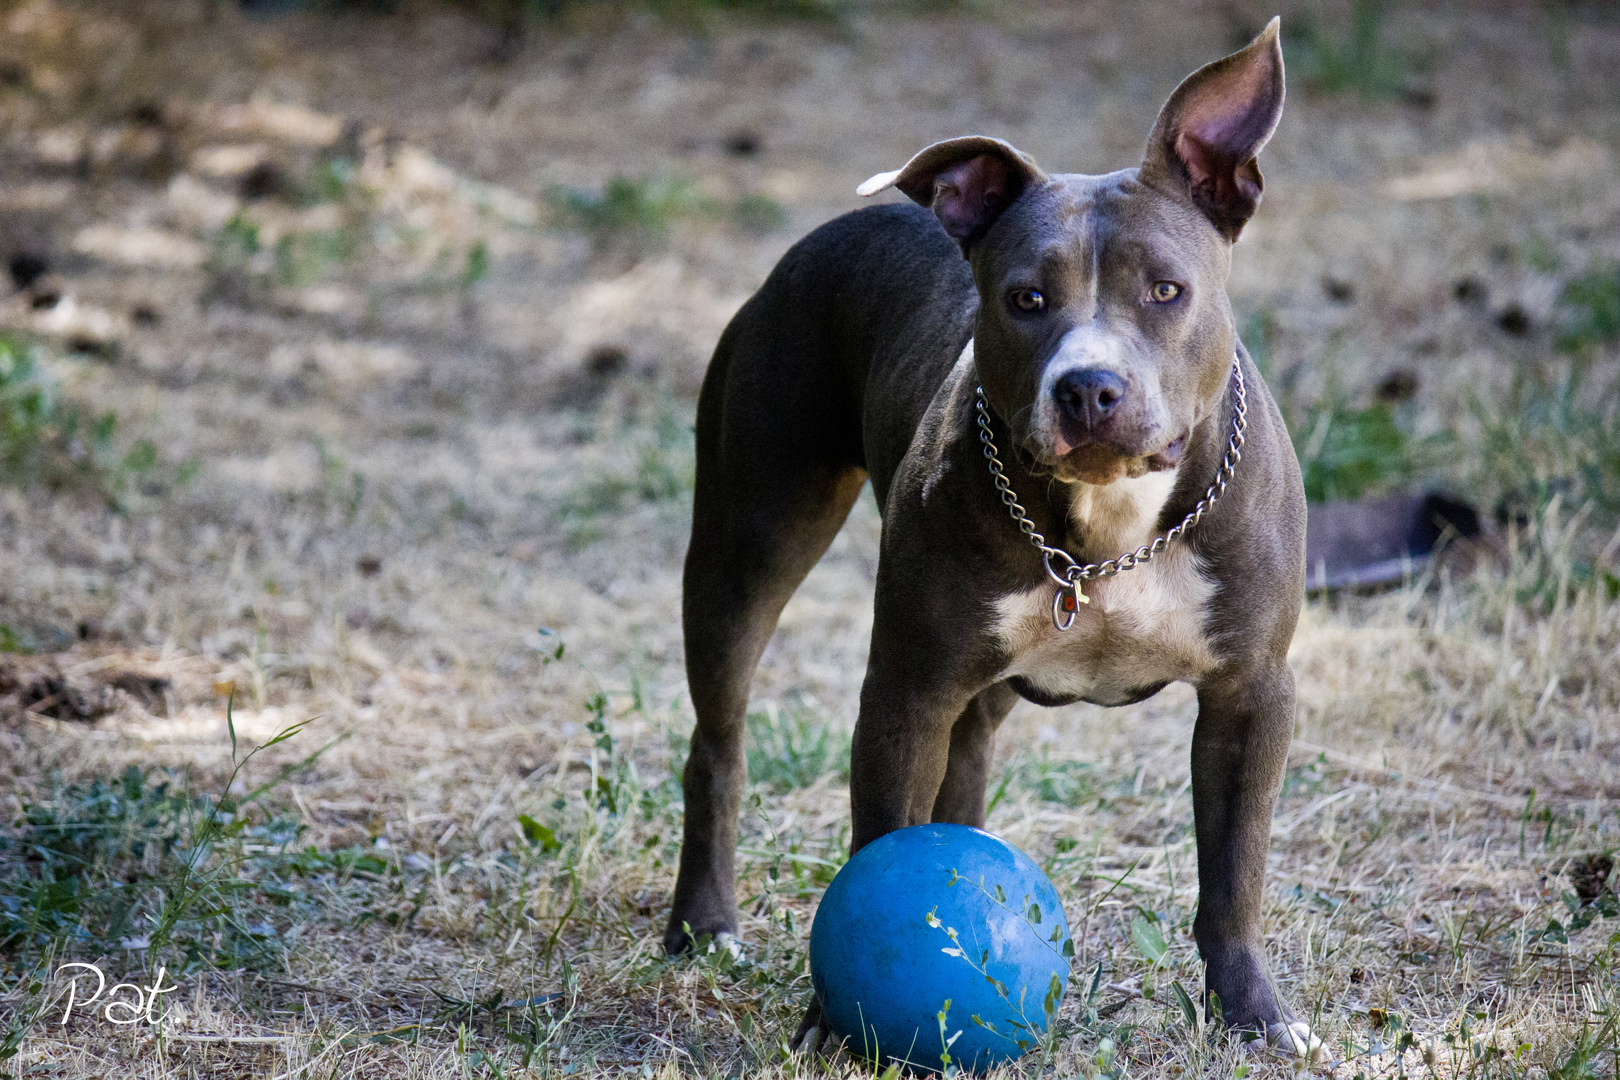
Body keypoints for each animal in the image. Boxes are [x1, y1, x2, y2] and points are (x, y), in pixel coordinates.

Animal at [664, 16, 1308, 1062]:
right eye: (1025, 299)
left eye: (1166, 291)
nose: (1089, 388)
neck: (1107, 532)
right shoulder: (906, 693)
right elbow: (877, 848)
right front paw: (832, 1021)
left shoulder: (1250, 696)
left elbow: (1234, 873)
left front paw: (1254, 1013)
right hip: (746, 548)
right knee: (717, 741)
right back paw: (703, 922)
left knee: (962, 783)